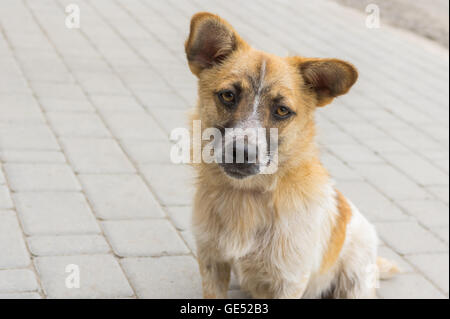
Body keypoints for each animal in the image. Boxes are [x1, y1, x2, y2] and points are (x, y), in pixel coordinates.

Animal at [183, 10, 398, 300]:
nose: (242, 153)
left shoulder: (290, 281)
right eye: (228, 95)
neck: (247, 197)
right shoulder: (212, 261)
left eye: (282, 110)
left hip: (354, 282)